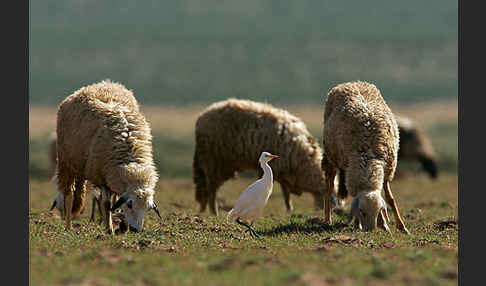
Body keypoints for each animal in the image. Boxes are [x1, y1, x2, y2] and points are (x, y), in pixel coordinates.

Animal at [55, 79, 161, 233]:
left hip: (82, 165)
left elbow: (114, 202)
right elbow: (106, 204)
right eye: (130, 204)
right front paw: (109, 229)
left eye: (148, 209)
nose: (135, 230)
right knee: (69, 195)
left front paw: (122, 226)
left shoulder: (111, 175)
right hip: (66, 162)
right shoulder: (102, 175)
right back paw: (68, 226)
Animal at [192, 98, 332, 214]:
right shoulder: (278, 168)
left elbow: (285, 191)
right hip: (214, 162)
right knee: (212, 190)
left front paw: (289, 209)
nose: (332, 208)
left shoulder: (282, 170)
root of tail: (201, 117)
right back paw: (214, 211)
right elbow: (283, 191)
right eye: (327, 191)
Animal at [322, 81, 410, 235]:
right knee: (328, 188)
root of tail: (351, 82)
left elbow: (390, 199)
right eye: (362, 212)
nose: (370, 230)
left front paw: (400, 226)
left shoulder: (388, 169)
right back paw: (328, 219)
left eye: (379, 212)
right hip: (331, 158)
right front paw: (357, 225)